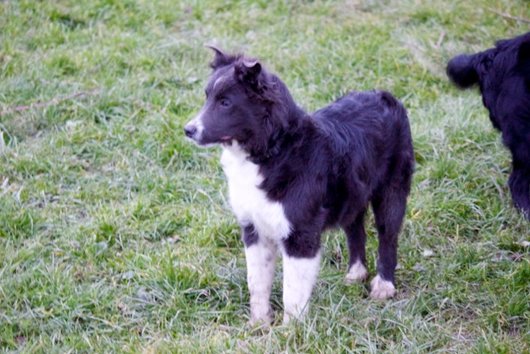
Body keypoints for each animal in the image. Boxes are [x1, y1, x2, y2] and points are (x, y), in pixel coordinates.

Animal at [185, 48, 412, 324]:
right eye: (207, 97)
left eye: (225, 103)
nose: (188, 130)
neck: (273, 150)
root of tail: (386, 96)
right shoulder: (254, 227)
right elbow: (256, 282)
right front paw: (259, 324)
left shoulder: (301, 232)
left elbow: (292, 291)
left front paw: (291, 329)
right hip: (351, 194)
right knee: (355, 228)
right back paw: (356, 273)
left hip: (392, 188)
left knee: (388, 234)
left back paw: (384, 285)